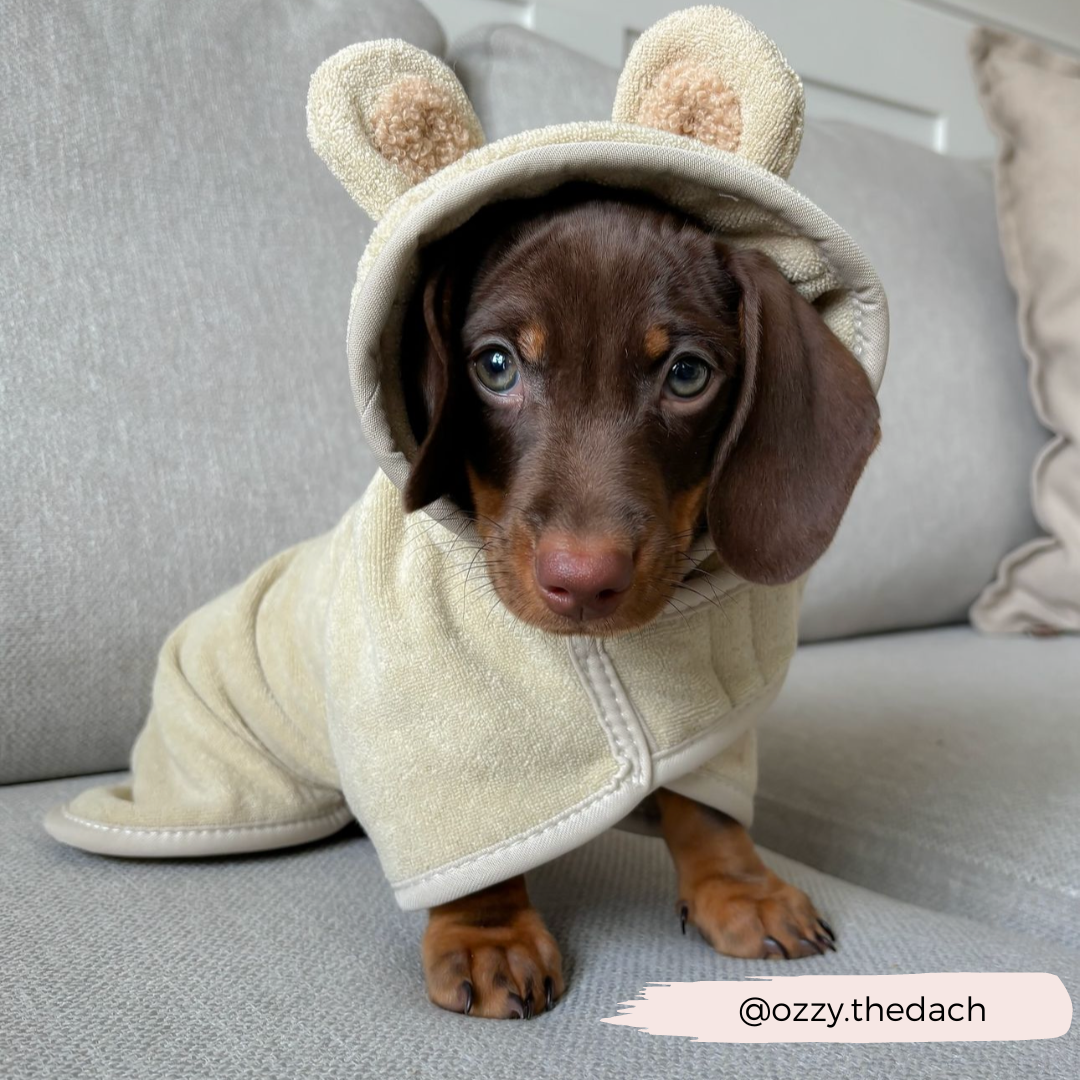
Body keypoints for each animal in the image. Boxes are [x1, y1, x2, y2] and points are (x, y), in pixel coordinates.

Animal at [401, 181, 881, 1015]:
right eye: (495, 365)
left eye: (687, 375)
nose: (582, 581)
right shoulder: (448, 727)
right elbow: (469, 835)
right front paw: (487, 931)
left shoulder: (714, 724)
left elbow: (711, 808)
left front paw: (742, 889)